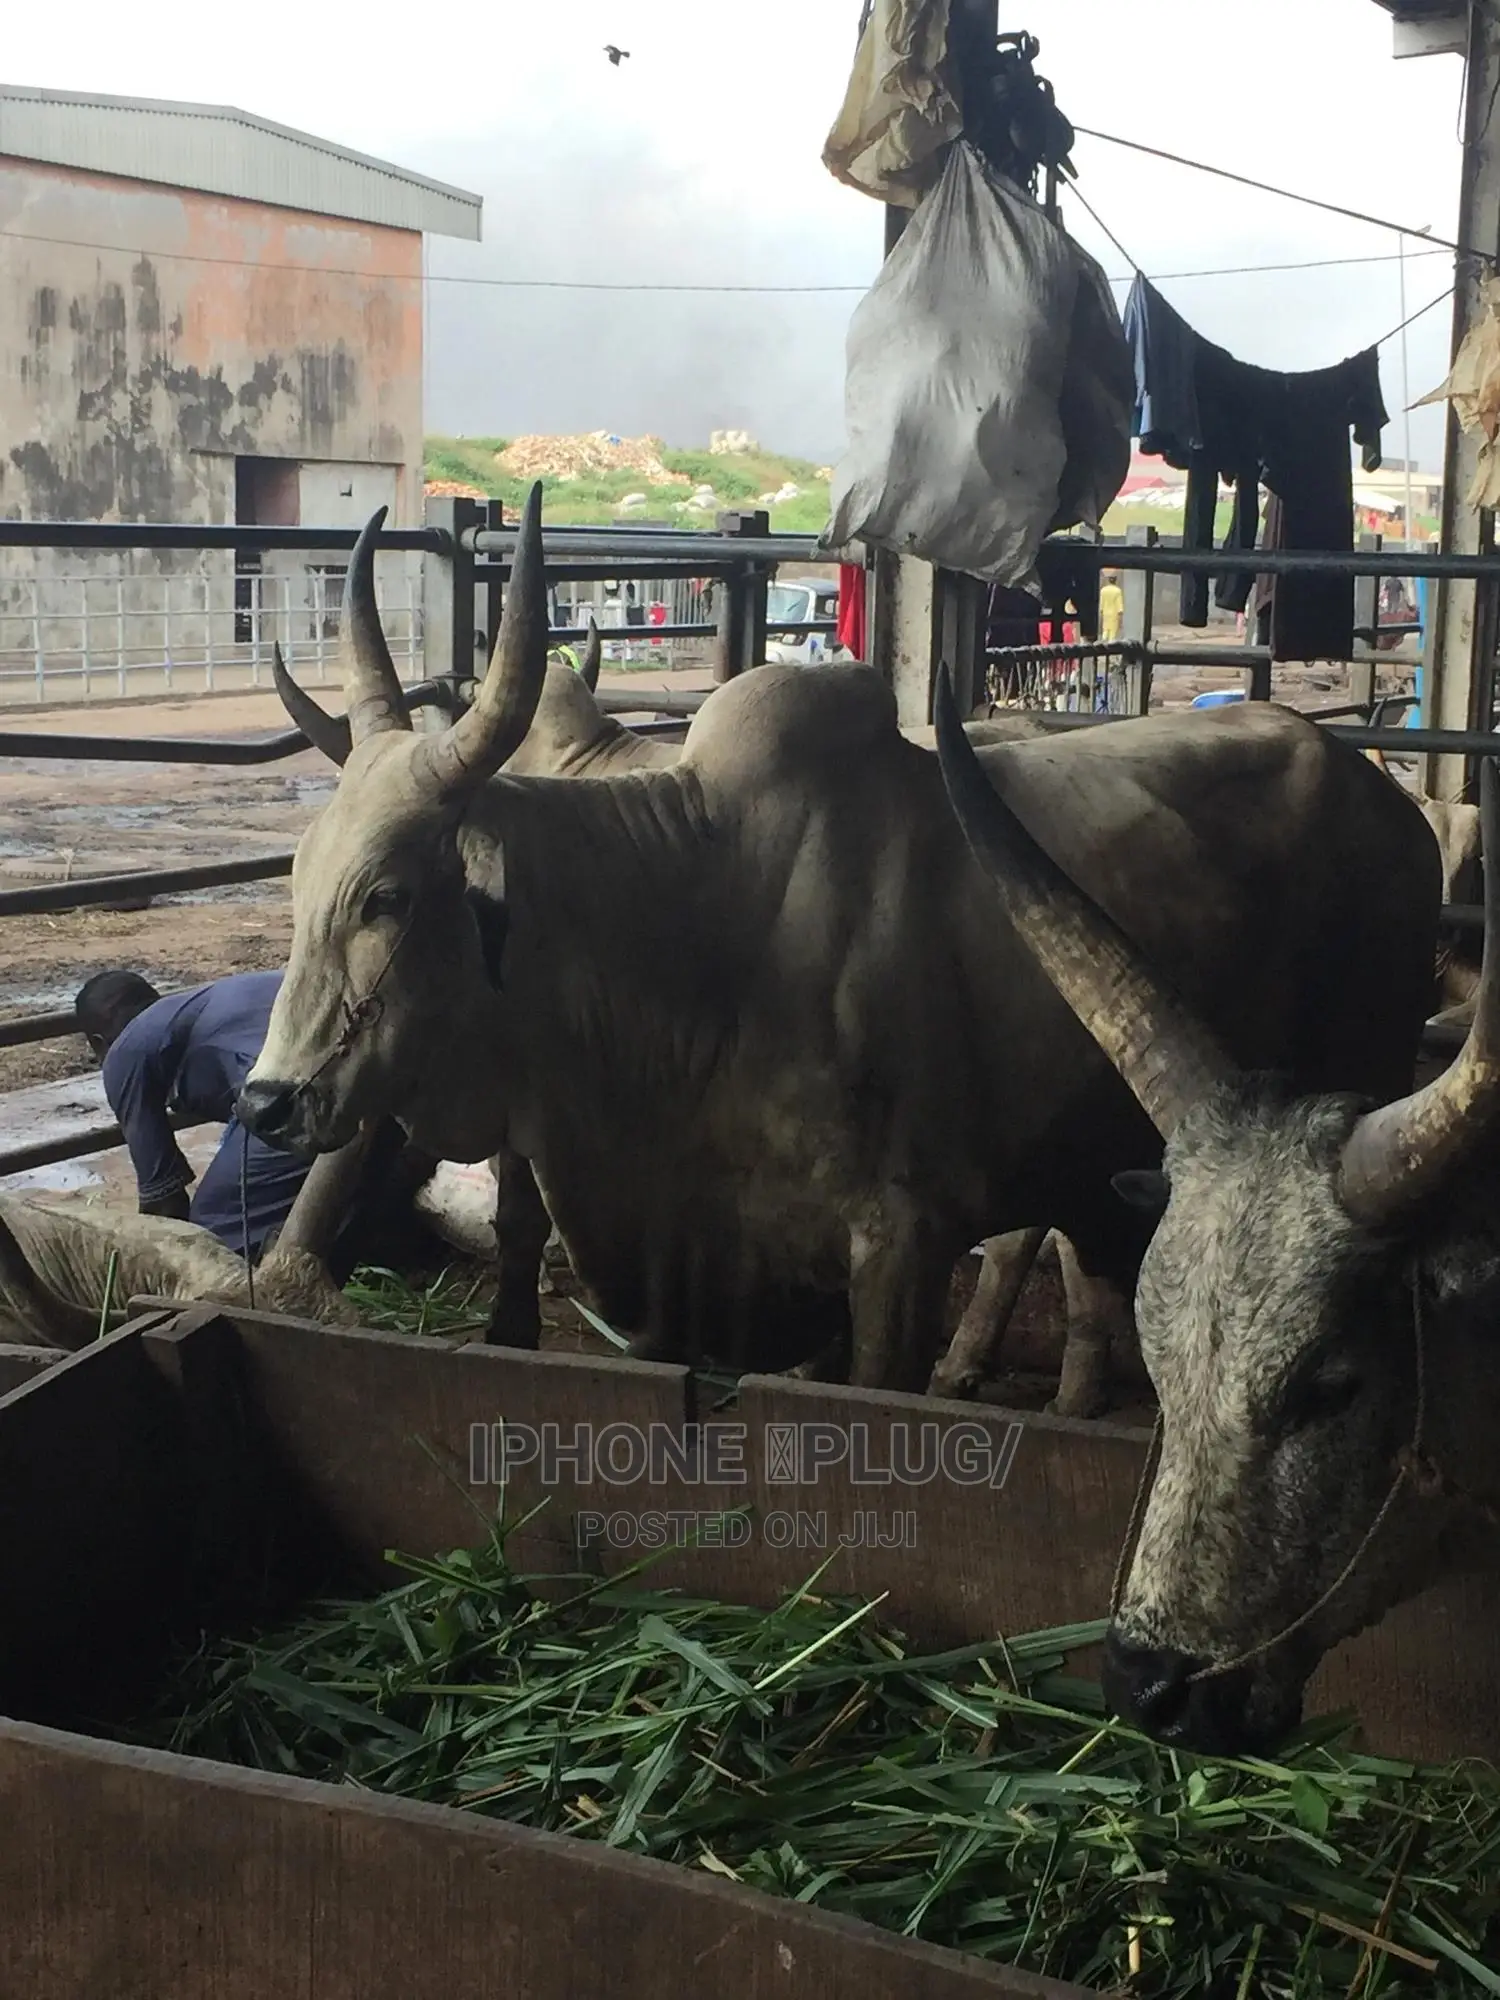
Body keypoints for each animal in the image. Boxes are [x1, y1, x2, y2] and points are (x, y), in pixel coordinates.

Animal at [238, 484, 1437, 1398]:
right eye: (296, 880)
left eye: (387, 896)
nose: (265, 1102)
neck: (699, 925)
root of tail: (1395, 805)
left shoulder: (900, 1246)